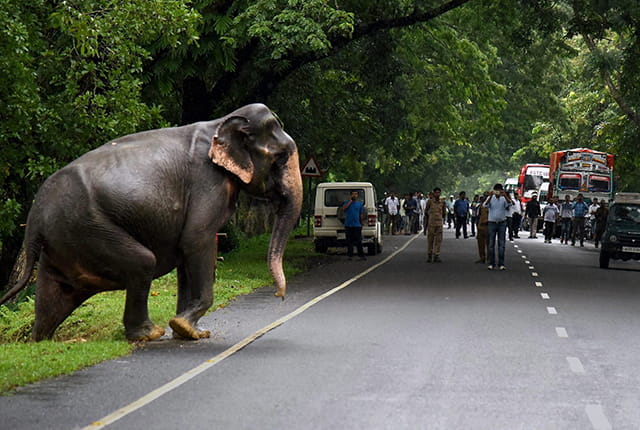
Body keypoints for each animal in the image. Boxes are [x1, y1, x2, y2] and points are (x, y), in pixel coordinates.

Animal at [0, 102, 304, 340]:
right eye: (280, 158)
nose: (280, 296)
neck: (221, 123)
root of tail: (34, 216)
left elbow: (186, 254)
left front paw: (189, 331)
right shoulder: (208, 183)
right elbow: (197, 240)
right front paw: (183, 326)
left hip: (62, 242)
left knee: (53, 295)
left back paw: (39, 339)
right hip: (86, 228)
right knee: (143, 263)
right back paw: (149, 333)